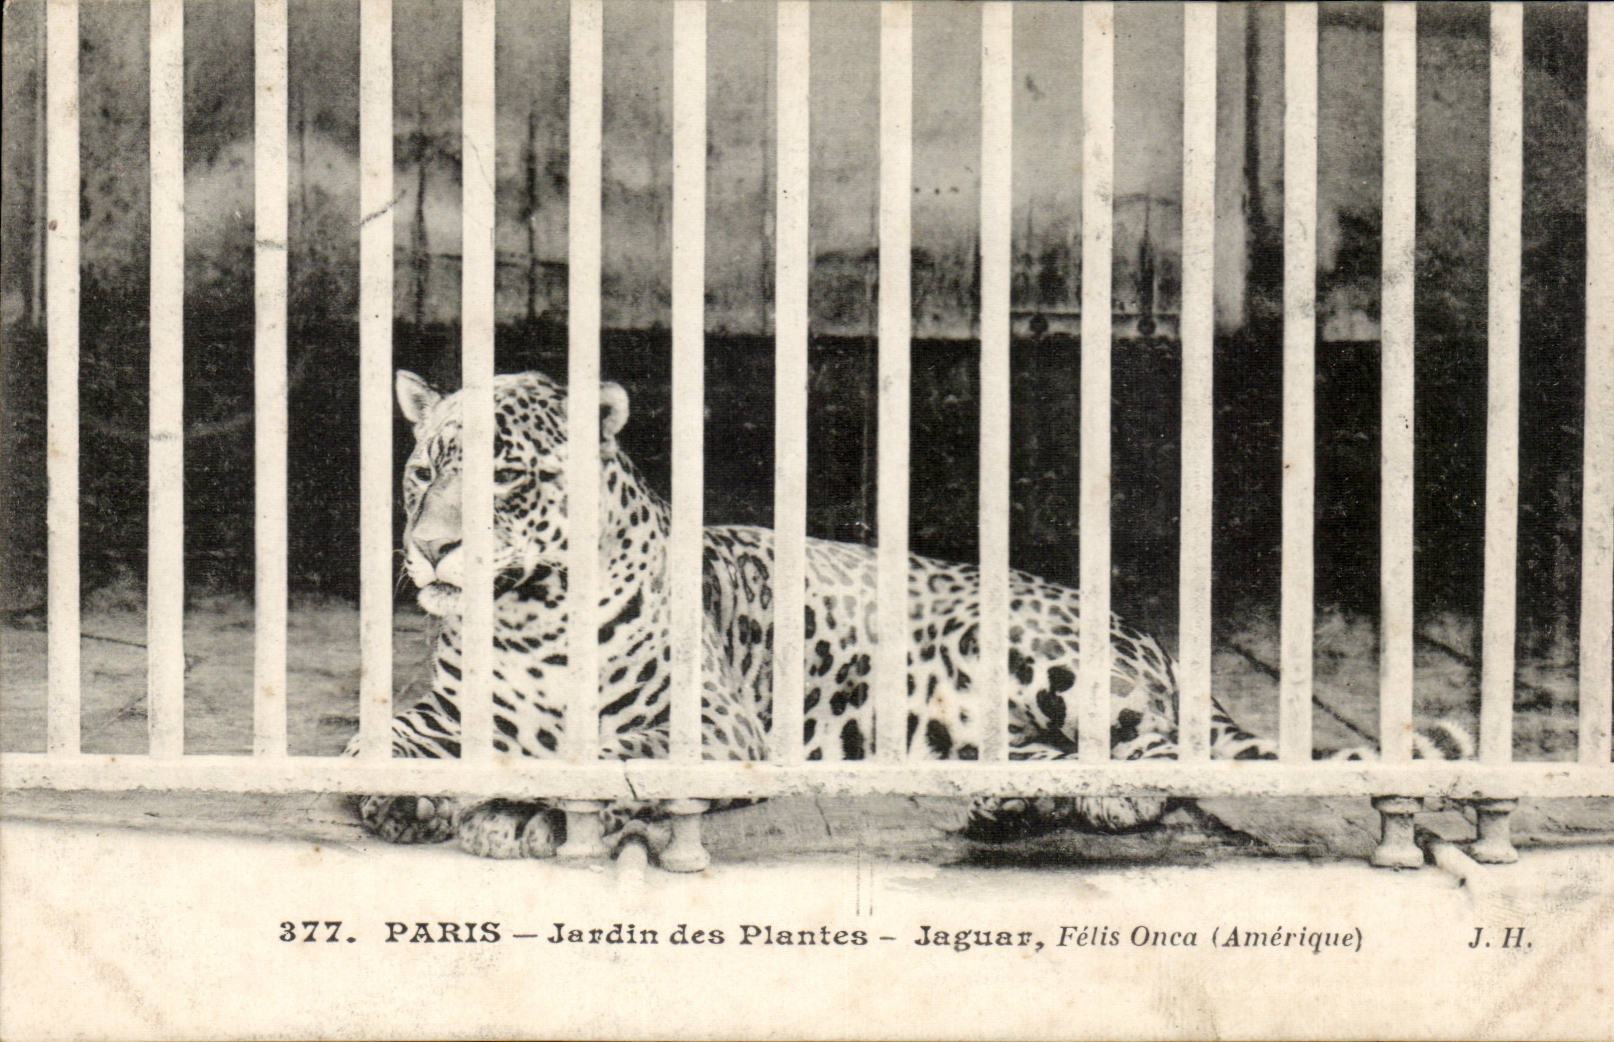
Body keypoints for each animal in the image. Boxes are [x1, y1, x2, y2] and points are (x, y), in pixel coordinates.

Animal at [354, 368, 1473, 860]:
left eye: (508, 477)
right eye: (422, 470)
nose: (429, 548)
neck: (523, 620)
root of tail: (1150, 643)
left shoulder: (711, 727)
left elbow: (608, 763)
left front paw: (528, 813)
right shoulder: (453, 708)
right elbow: (390, 735)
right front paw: (397, 790)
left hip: (1024, 648)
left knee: (1164, 754)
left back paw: (1102, 798)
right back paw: (1009, 806)